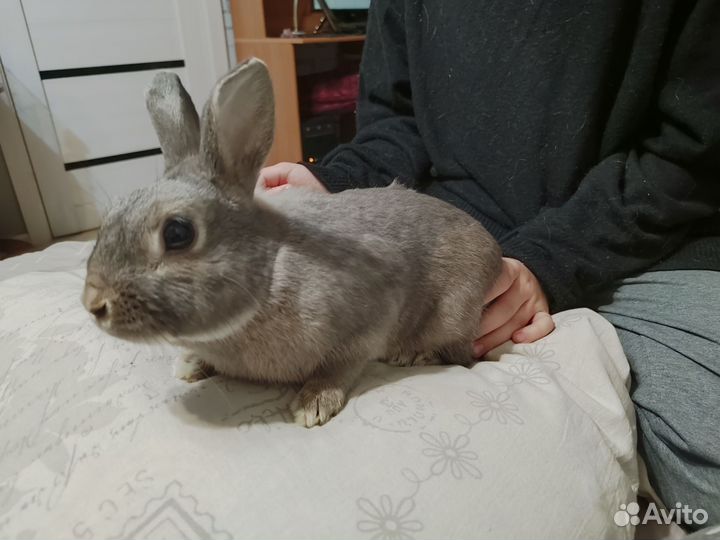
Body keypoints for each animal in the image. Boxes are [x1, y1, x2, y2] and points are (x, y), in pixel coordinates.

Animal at [82, 58, 502, 427]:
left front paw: (314, 403)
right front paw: (190, 364)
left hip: (453, 313)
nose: (93, 304)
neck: (269, 273)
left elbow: (343, 365)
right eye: (112, 214)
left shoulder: (370, 317)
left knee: (459, 352)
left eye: (177, 233)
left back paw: (412, 354)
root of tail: (493, 252)